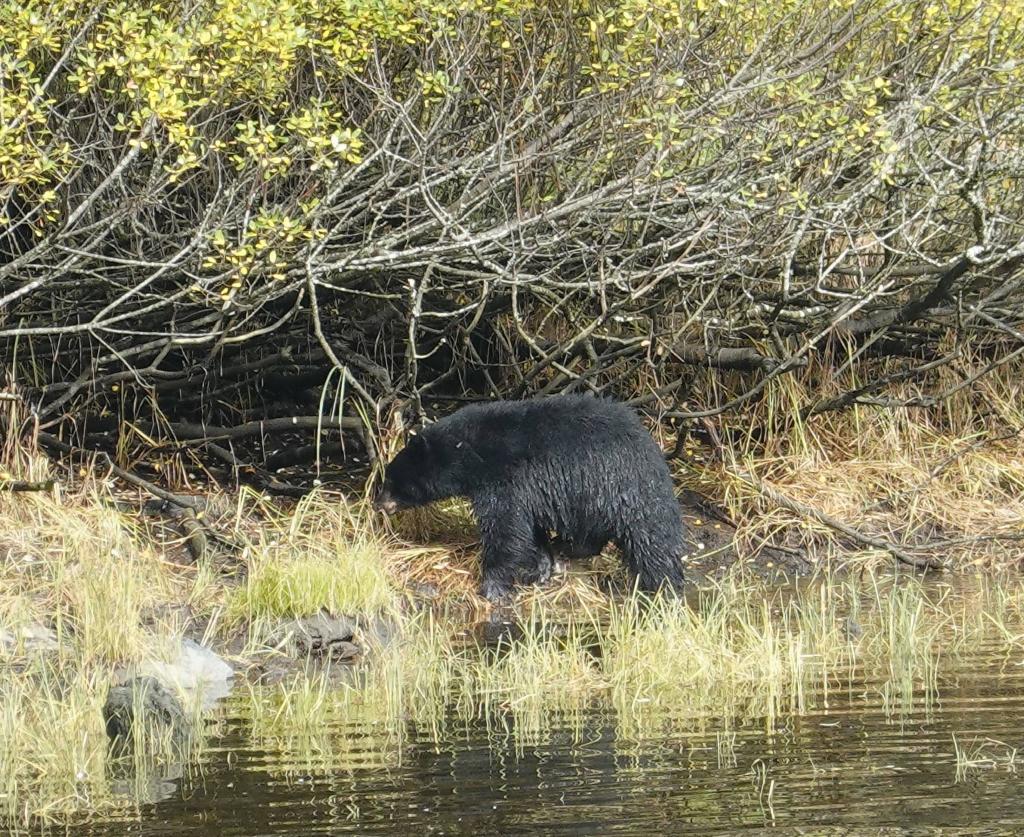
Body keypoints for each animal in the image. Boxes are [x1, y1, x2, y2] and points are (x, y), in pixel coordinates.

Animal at [376, 395, 688, 598]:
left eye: (390, 479)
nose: (377, 503)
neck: (471, 452)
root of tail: (657, 454)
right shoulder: (529, 491)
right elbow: (528, 528)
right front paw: (541, 567)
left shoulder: (506, 480)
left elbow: (505, 530)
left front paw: (493, 586)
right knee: (592, 533)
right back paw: (569, 547)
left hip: (627, 491)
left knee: (651, 543)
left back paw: (664, 587)